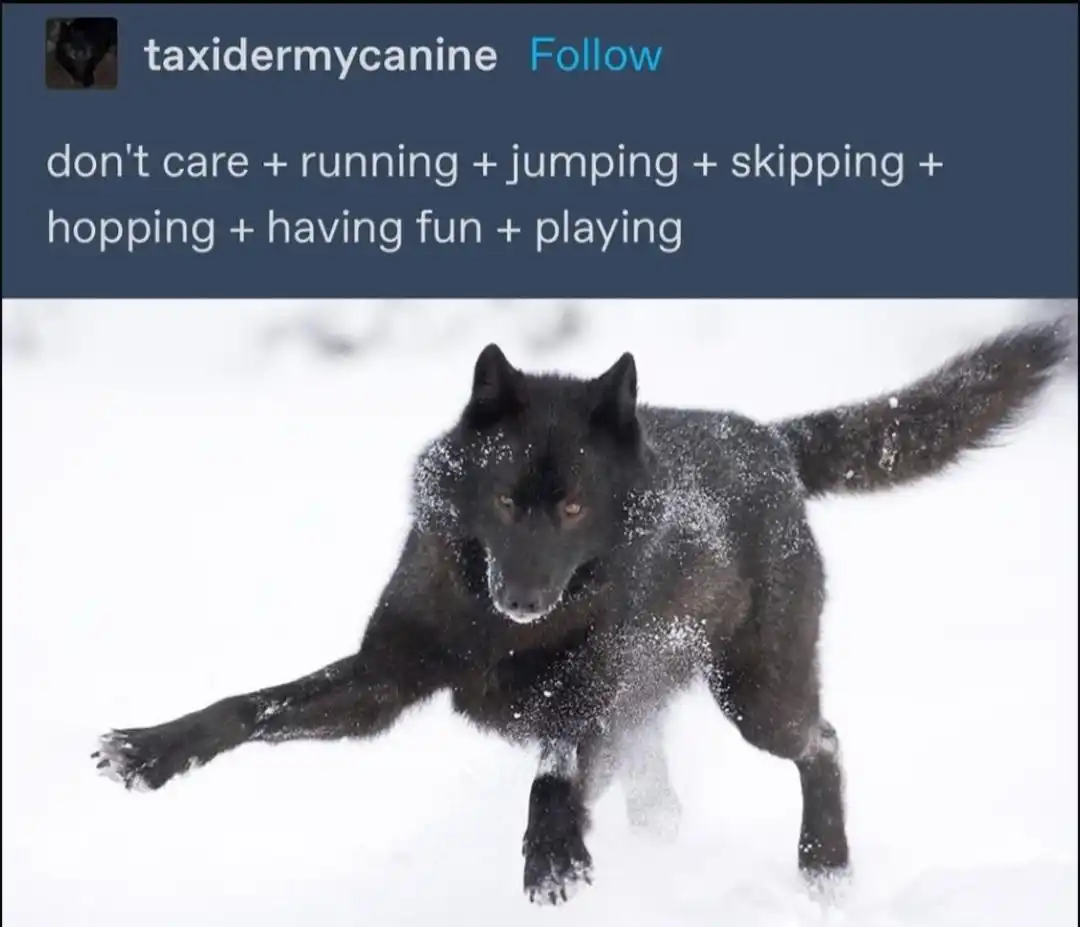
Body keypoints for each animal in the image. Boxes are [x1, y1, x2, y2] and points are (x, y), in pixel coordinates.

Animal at [92, 323, 1069, 906]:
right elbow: (248, 705)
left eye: (571, 509)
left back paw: (824, 871)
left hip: (756, 697)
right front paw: (148, 750)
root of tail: (772, 440)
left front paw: (552, 850)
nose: (524, 600)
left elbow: (555, 760)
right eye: (505, 499)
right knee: (666, 799)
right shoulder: (381, 680)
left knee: (823, 741)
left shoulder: (591, 687)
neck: (489, 629)